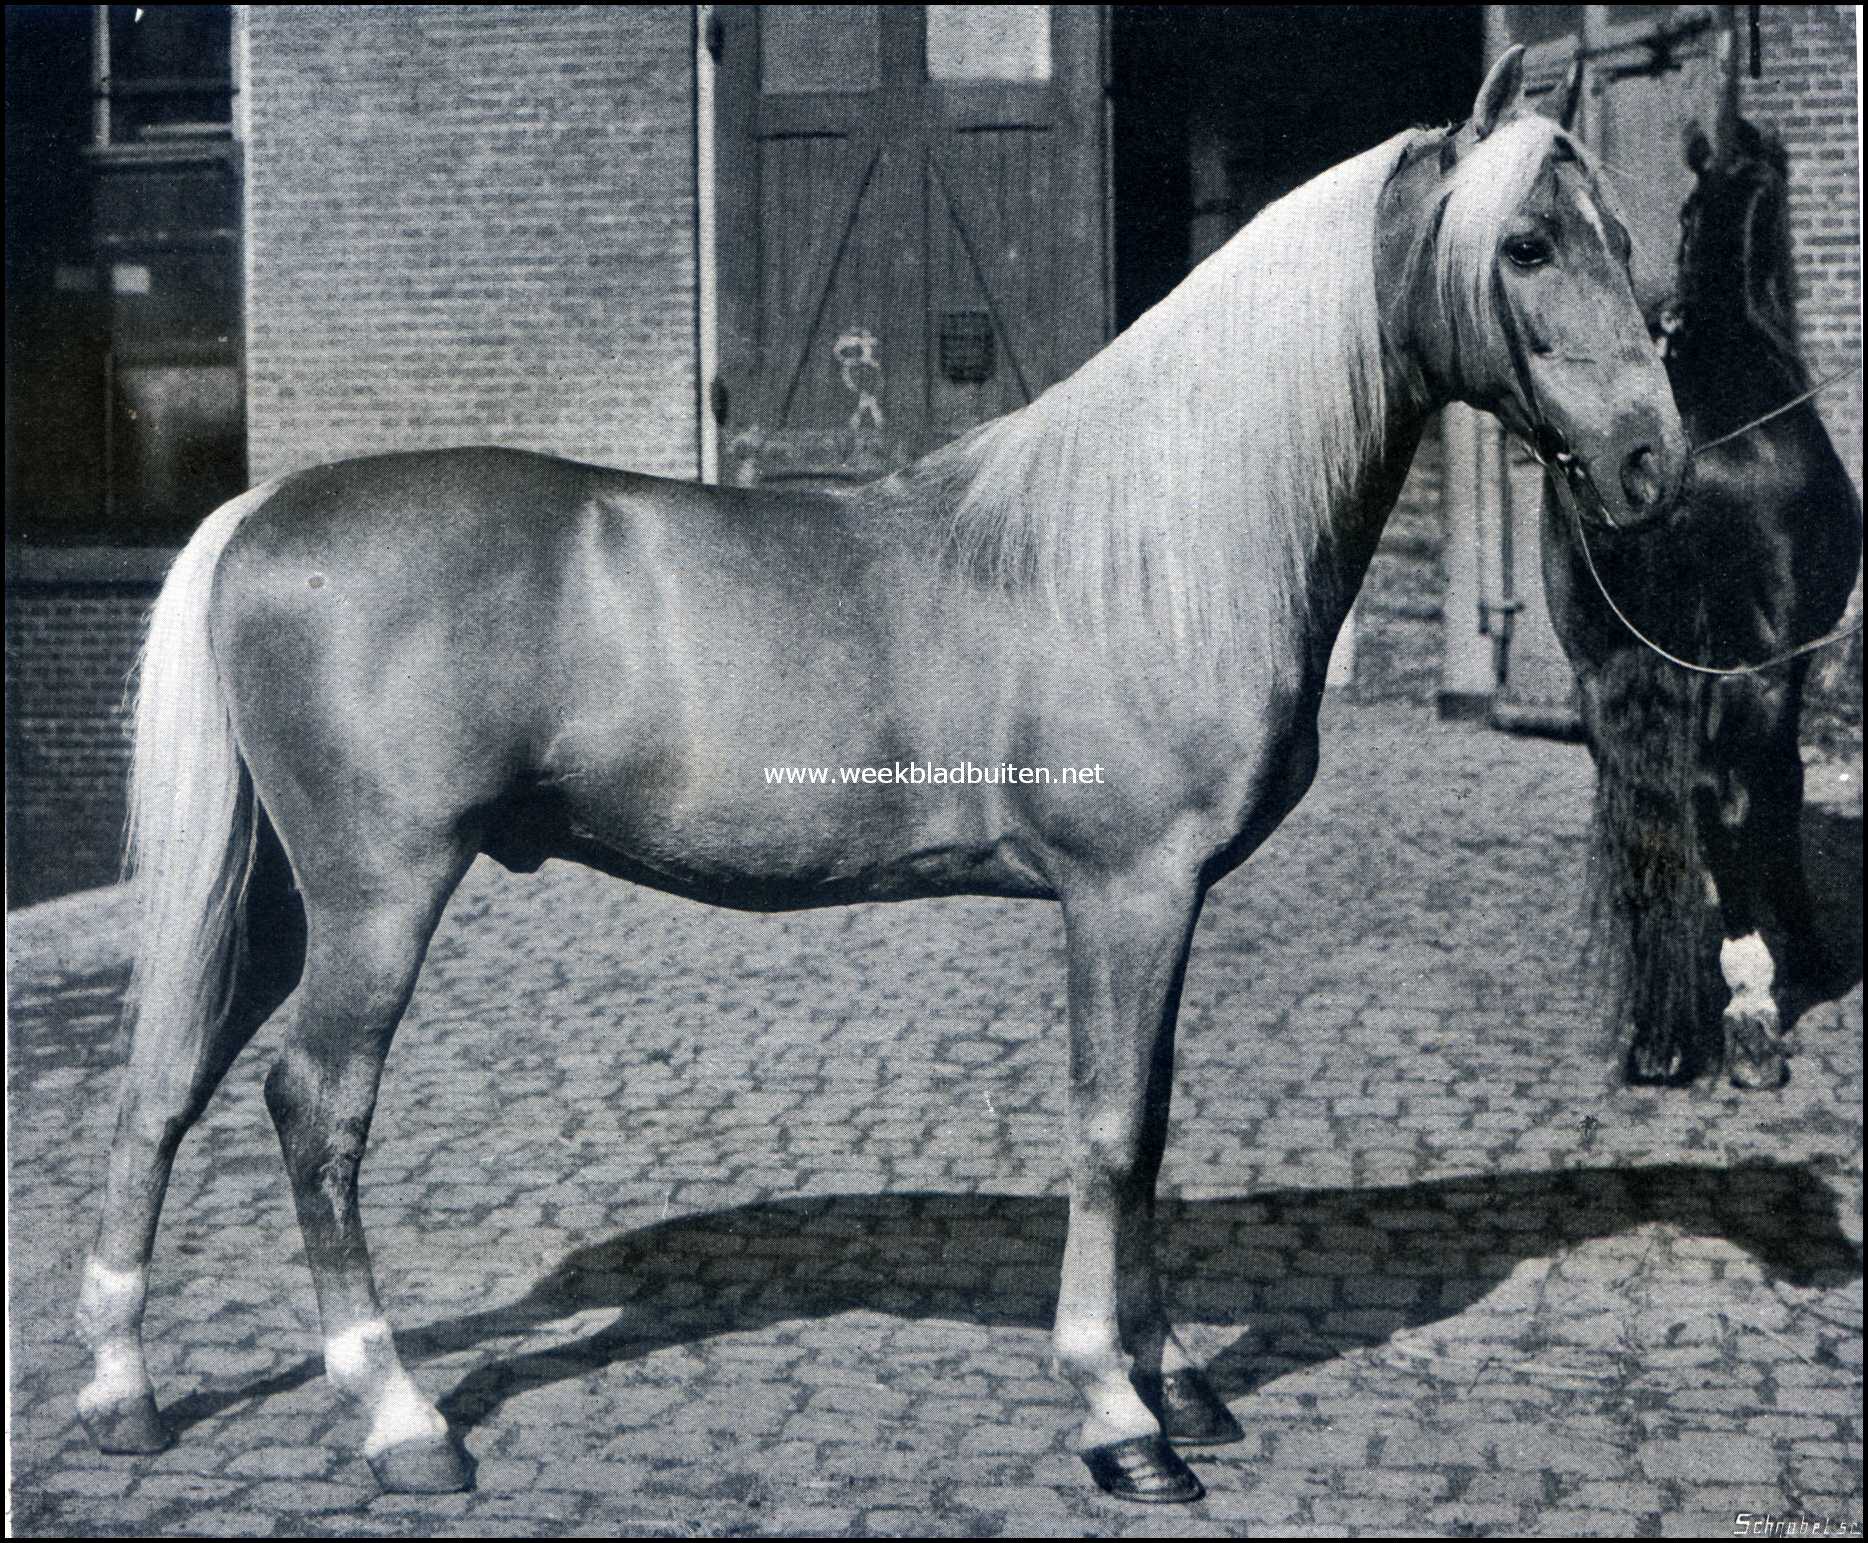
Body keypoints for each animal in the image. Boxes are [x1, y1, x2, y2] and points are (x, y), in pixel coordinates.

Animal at [78, 49, 1686, 1505]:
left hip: (276, 892)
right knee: (314, 1105)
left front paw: (1181, 1383)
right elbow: (1112, 1129)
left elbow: (1150, 1125)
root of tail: (264, 509)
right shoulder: (1126, 893)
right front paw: (1122, 1418)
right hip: (378, 895)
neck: (1153, 542)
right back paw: (401, 1418)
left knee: (164, 1079)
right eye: (1526, 244)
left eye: (1621, 238)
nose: (1650, 463)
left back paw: (122, 1395)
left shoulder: (1164, 909)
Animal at [1540, 103, 1861, 1092]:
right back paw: (1751, 1020)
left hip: (1600, 668)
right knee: (1729, 799)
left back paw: (1658, 1035)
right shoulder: (1783, 668)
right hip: (1750, 670)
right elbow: (1780, 795)